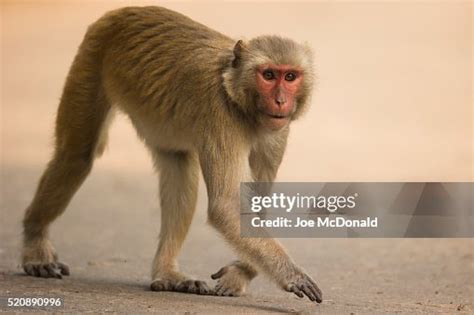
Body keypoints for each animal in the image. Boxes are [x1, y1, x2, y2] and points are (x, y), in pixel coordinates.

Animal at [20, 6, 320, 304]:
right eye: (268, 75)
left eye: (290, 77)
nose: (281, 101)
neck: (238, 97)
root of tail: (122, 11)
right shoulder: (220, 115)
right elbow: (226, 205)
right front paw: (292, 274)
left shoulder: (277, 132)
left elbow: (253, 205)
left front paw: (240, 273)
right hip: (91, 59)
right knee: (76, 157)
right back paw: (35, 242)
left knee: (179, 164)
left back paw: (166, 273)